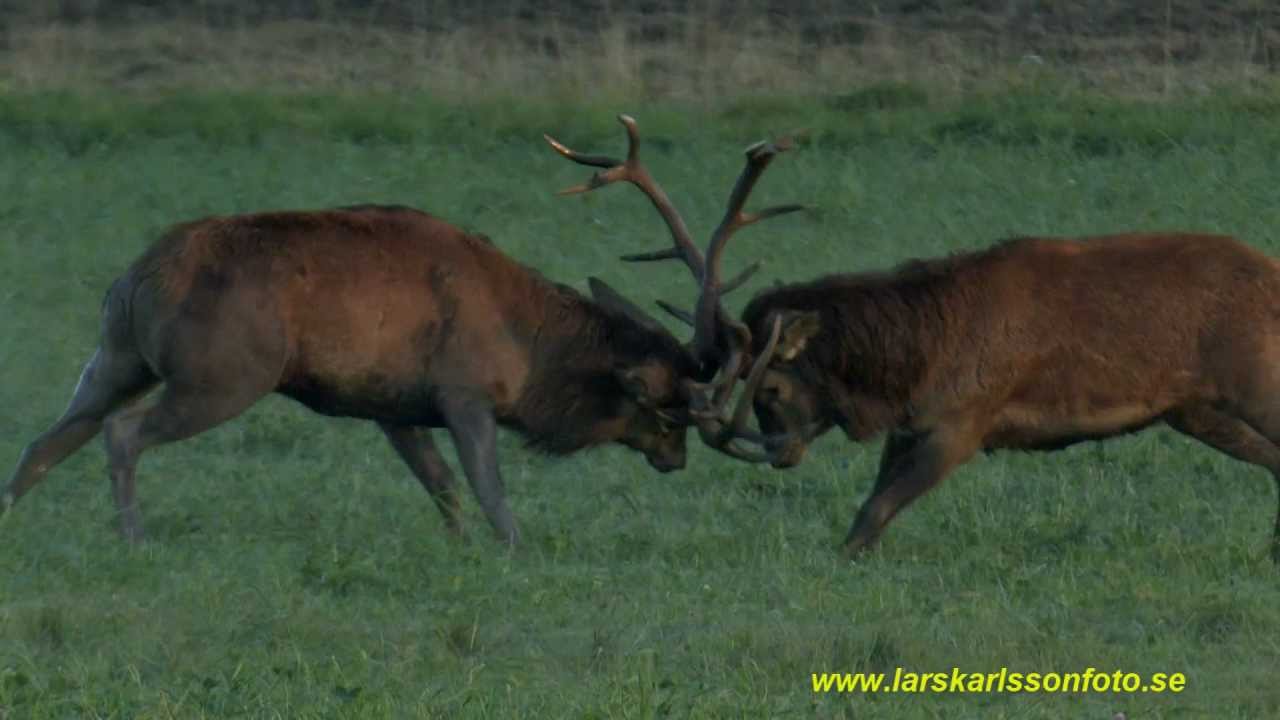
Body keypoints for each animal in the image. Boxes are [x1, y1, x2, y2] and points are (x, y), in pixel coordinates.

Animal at [3, 201, 705, 545]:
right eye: (668, 408)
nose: (678, 459)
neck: (530, 351)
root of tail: (137, 277)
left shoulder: (395, 407)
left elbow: (441, 485)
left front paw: (461, 548)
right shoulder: (465, 391)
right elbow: (487, 487)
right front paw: (514, 549)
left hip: (118, 357)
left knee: (47, 441)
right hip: (222, 375)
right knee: (121, 433)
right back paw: (134, 536)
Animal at [561, 121, 1280, 564]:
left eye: (772, 385)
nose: (779, 453)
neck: (917, 357)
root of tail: (1272, 274)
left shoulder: (964, 421)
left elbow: (870, 519)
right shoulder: (909, 426)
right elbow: (869, 512)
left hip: (1253, 379)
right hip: (1198, 409)